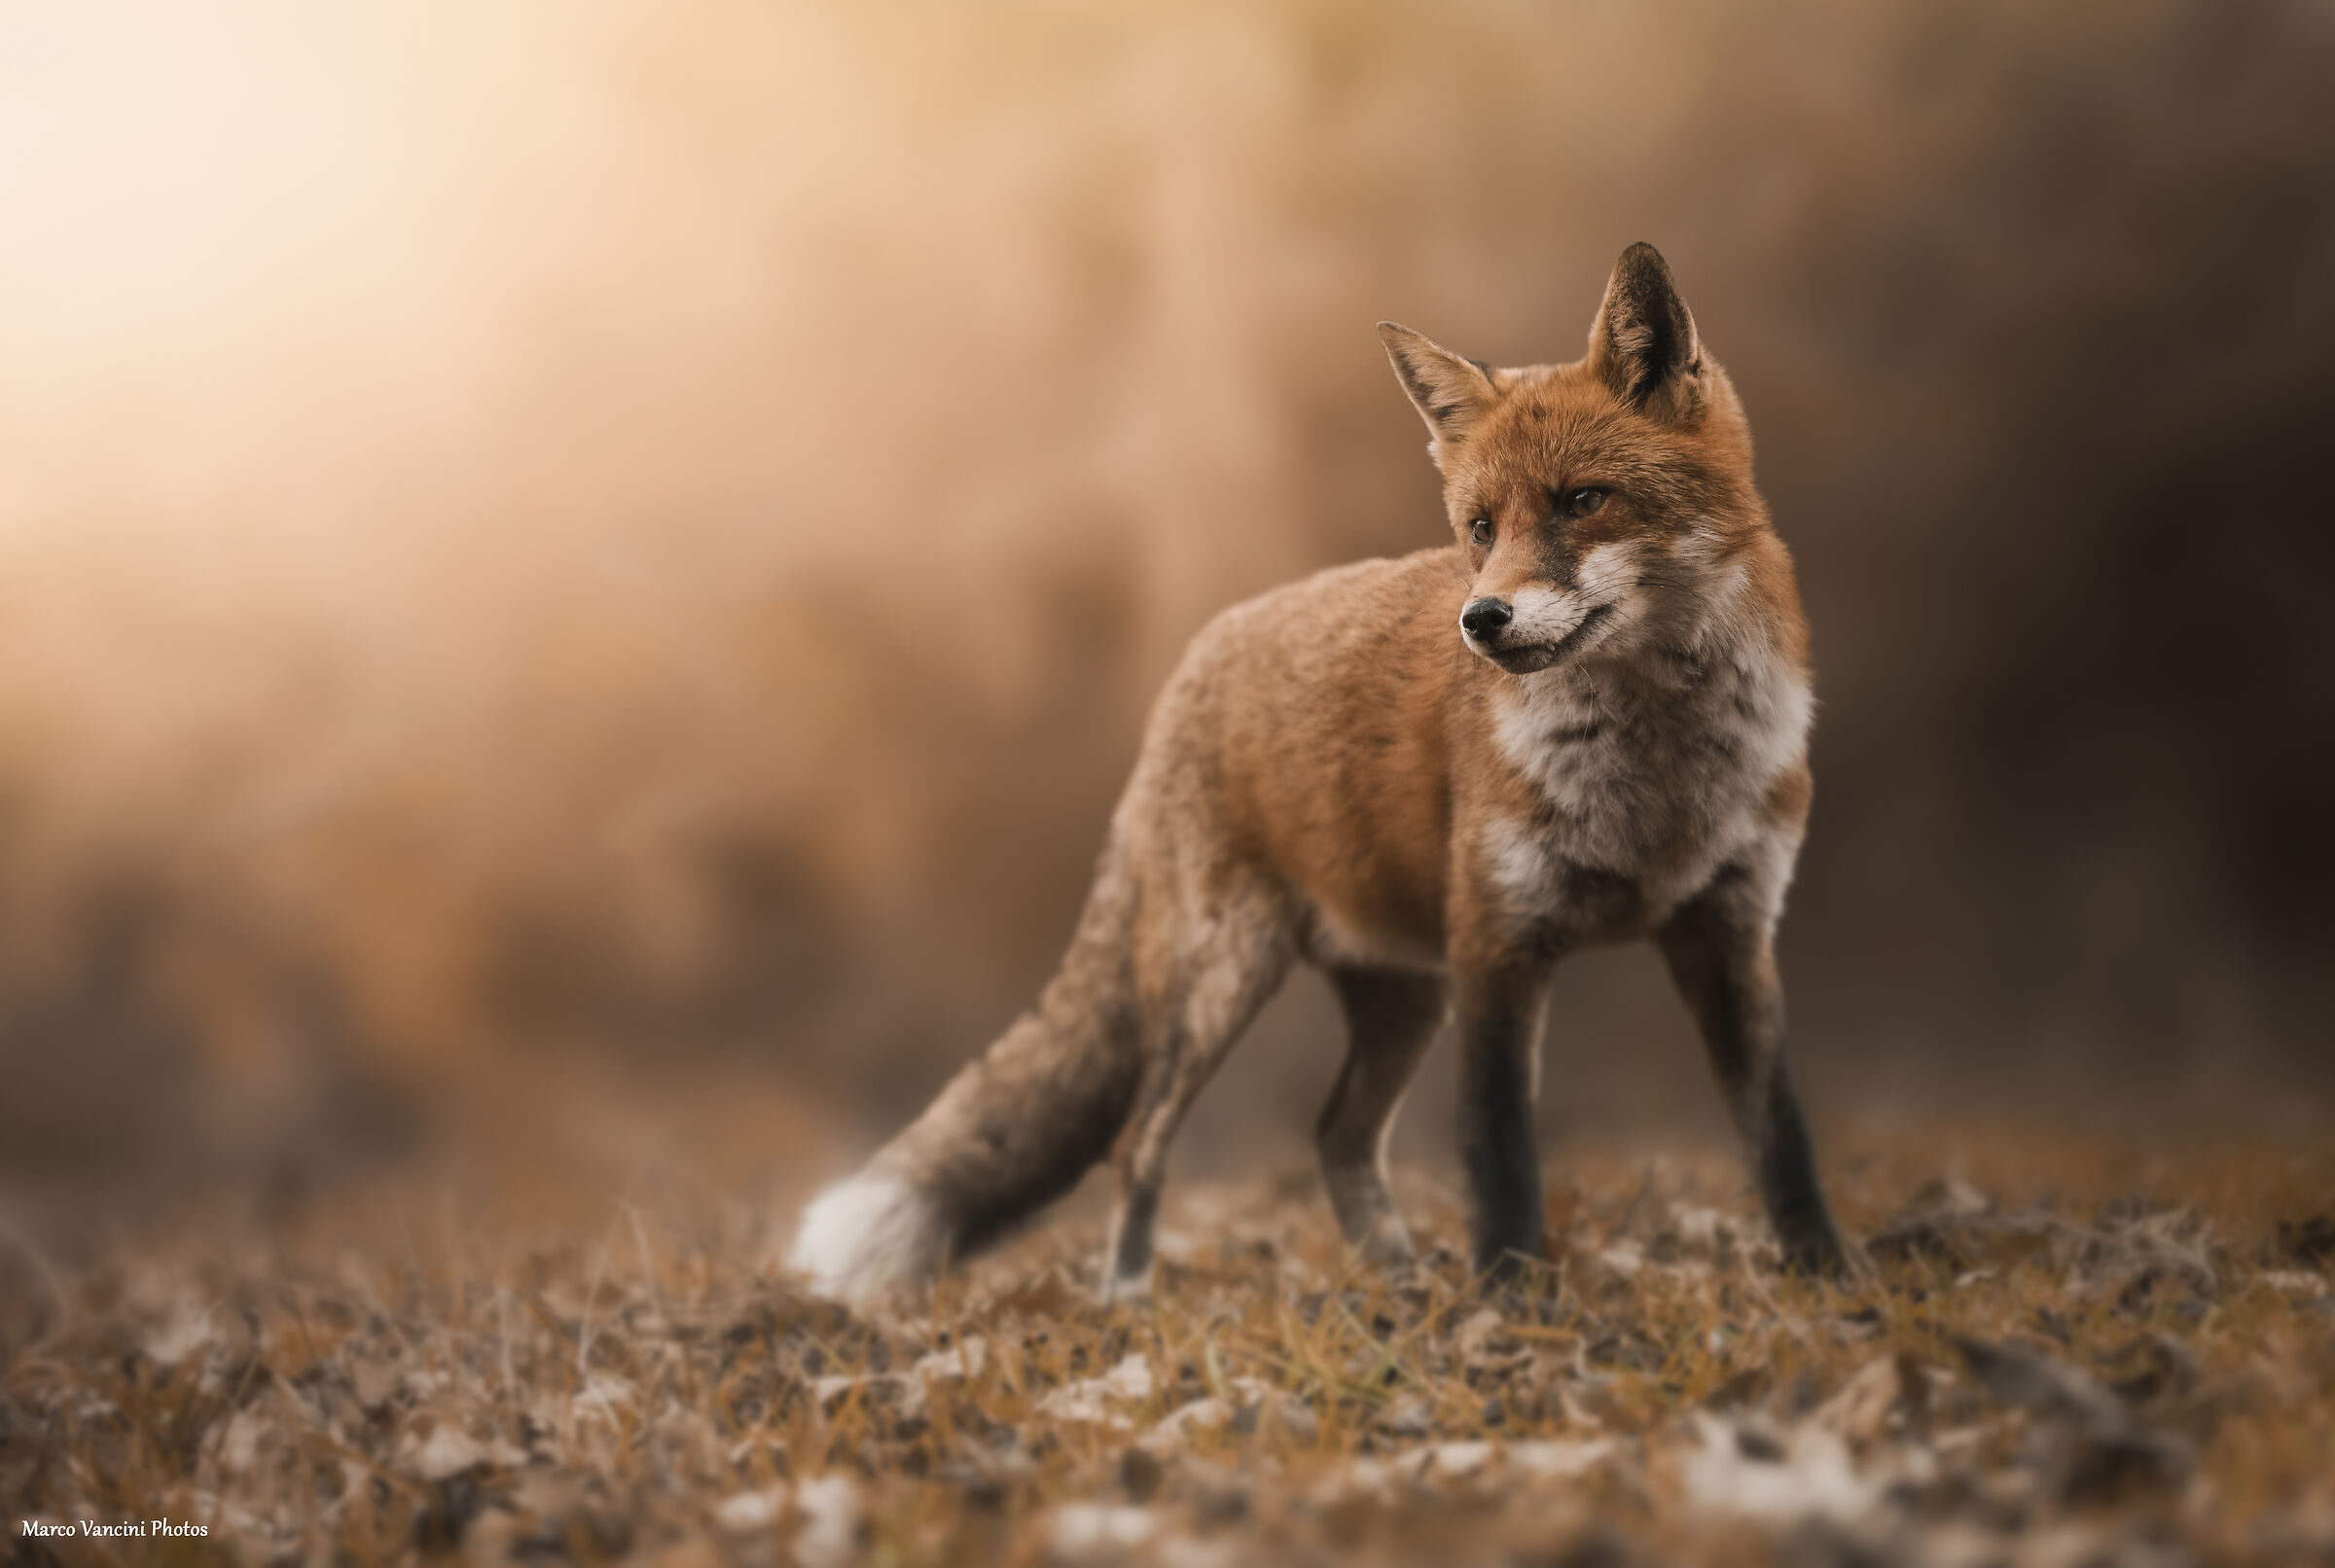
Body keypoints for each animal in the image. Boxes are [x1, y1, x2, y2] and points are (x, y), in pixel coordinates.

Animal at [790, 242, 1847, 1304]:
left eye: (1583, 500)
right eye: (1479, 527)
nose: (1483, 620)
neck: (1657, 781)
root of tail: (1190, 665)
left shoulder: (1730, 933)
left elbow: (1782, 1140)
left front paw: (1827, 1284)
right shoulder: (1498, 947)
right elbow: (1502, 1156)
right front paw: (1506, 1307)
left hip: (1402, 997)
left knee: (1335, 1135)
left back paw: (1395, 1280)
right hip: (1222, 984)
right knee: (1140, 1145)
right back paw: (1130, 1296)